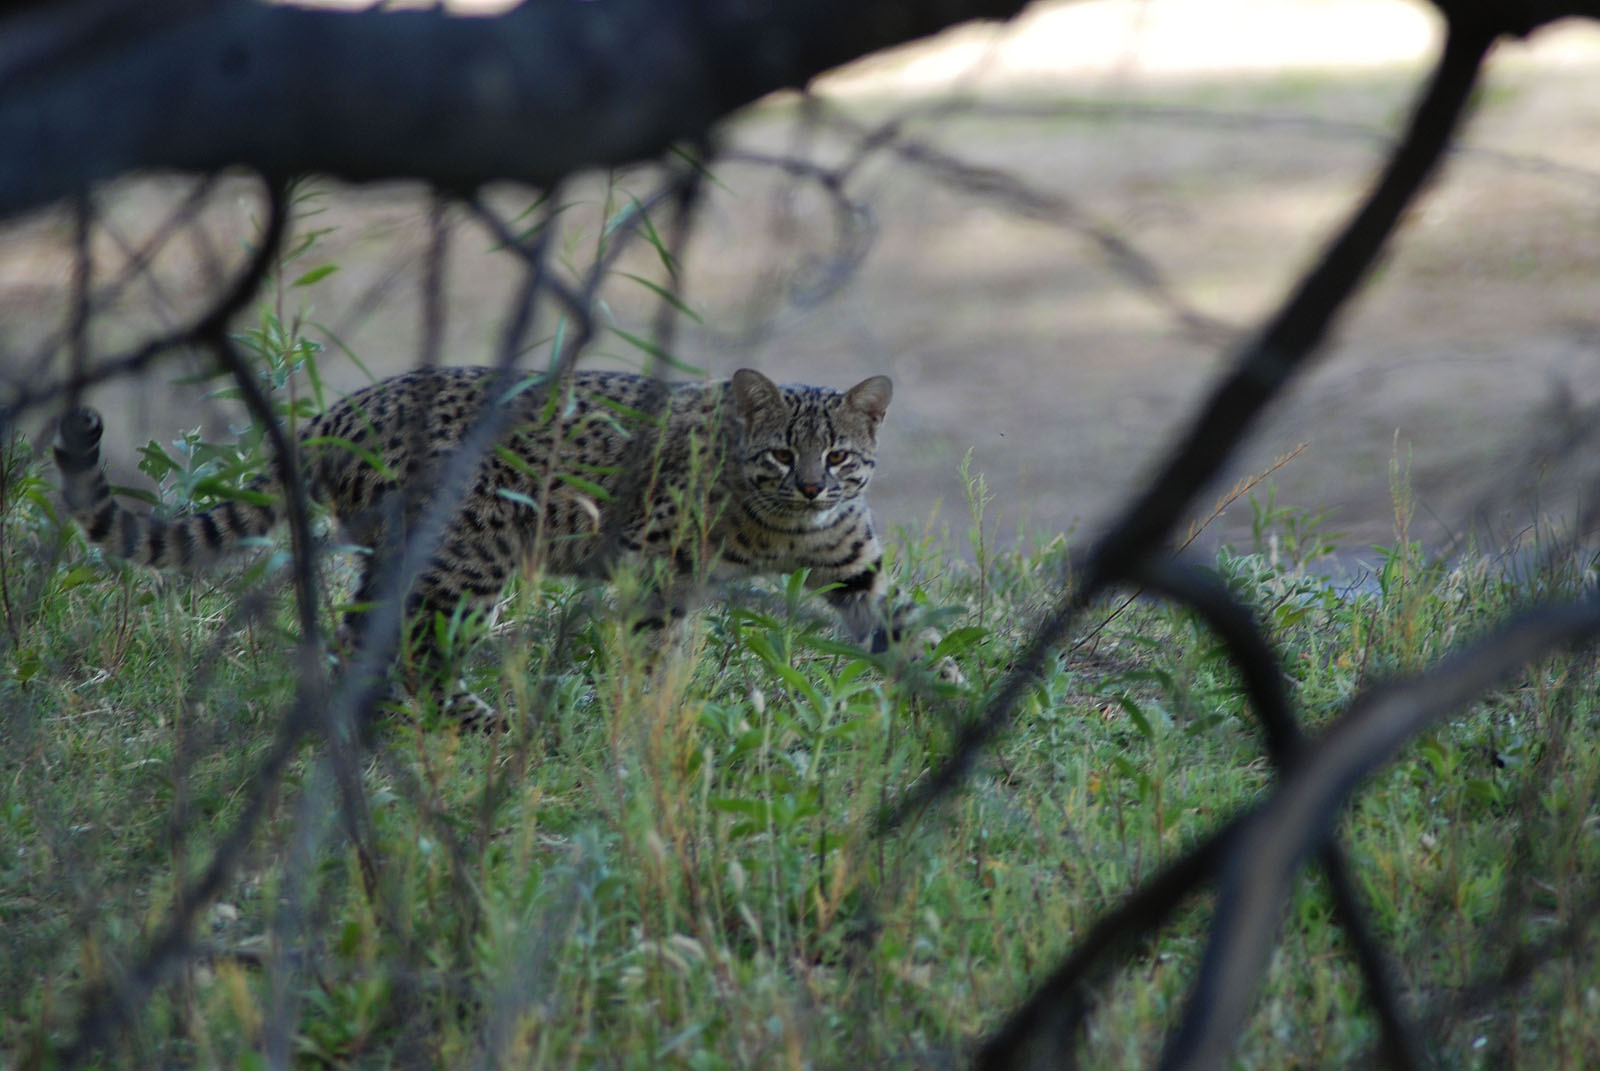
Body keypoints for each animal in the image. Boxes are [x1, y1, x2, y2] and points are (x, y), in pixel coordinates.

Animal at [56, 368, 908, 726]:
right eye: (781, 453)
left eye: (838, 455)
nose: (811, 487)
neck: (782, 528)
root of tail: (341, 409)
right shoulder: (652, 565)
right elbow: (649, 655)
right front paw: (646, 726)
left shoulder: (856, 569)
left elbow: (901, 634)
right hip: (472, 547)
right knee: (413, 649)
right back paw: (477, 722)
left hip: (401, 552)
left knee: (360, 632)